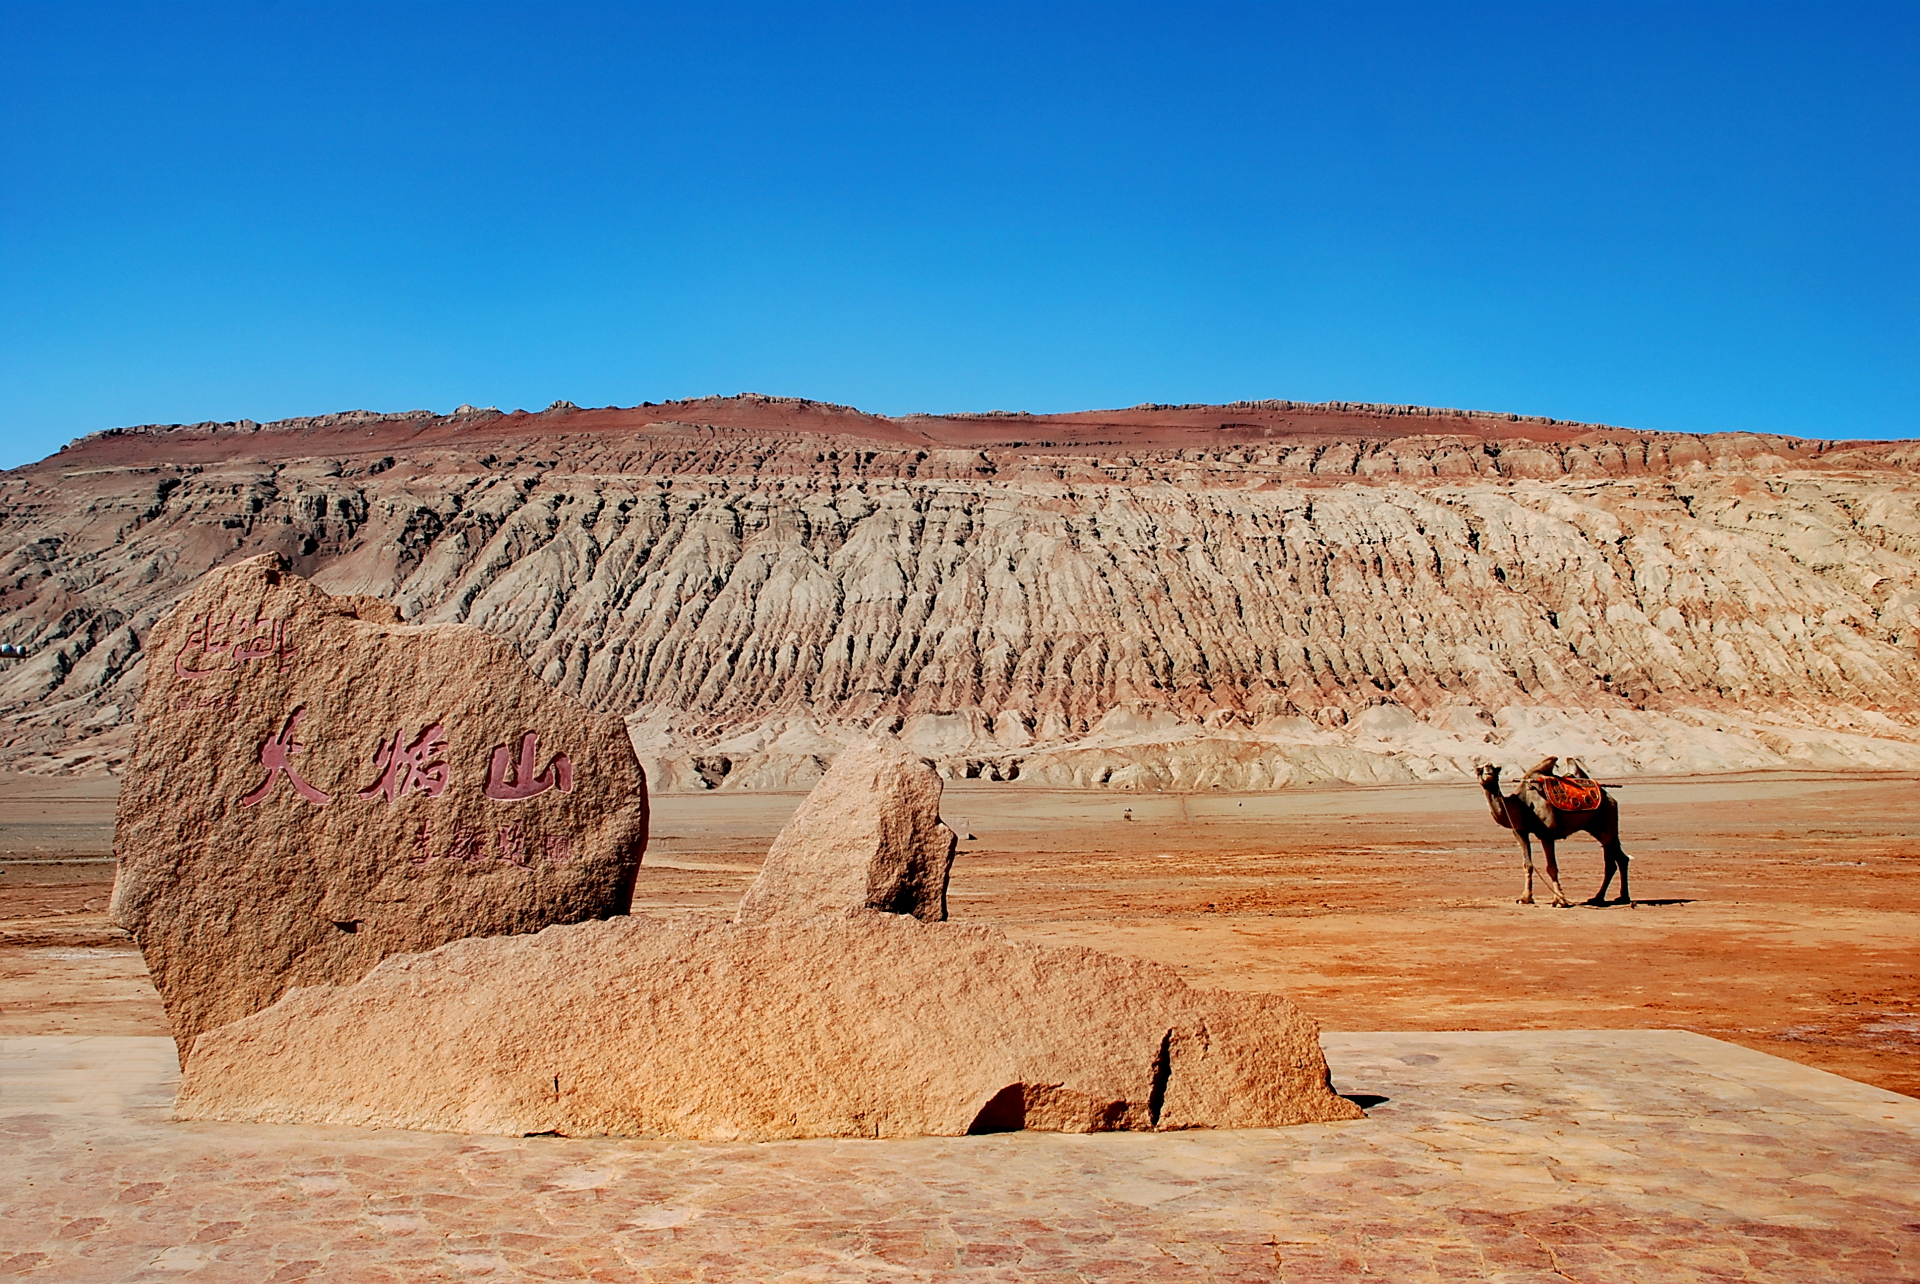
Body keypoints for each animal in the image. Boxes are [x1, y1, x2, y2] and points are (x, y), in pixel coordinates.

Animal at [1466, 756, 1635, 905]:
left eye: (1495, 769)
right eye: (1478, 769)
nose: (1488, 774)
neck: (1523, 803)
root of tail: (1608, 796)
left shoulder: (1546, 833)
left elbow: (1551, 867)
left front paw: (1560, 901)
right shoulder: (1520, 831)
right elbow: (1527, 865)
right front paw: (1525, 898)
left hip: (1607, 820)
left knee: (1613, 860)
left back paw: (1606, 898)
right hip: (1597, 827)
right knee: (1619, 859)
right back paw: (1612, 898)